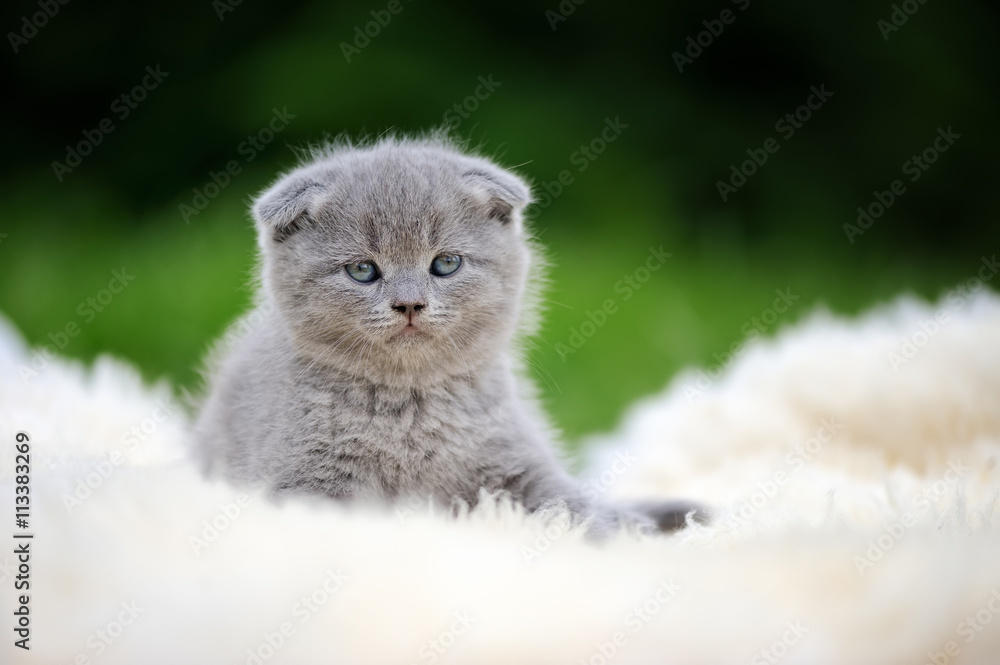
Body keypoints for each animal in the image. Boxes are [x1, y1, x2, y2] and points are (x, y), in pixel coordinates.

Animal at [195, 134, 704, 536]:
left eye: (445, 263)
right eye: (362, 270)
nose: (409, 304)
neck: (410, 408)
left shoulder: (516, 462)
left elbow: (570, 504)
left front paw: (613, 534)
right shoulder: (302, 480)